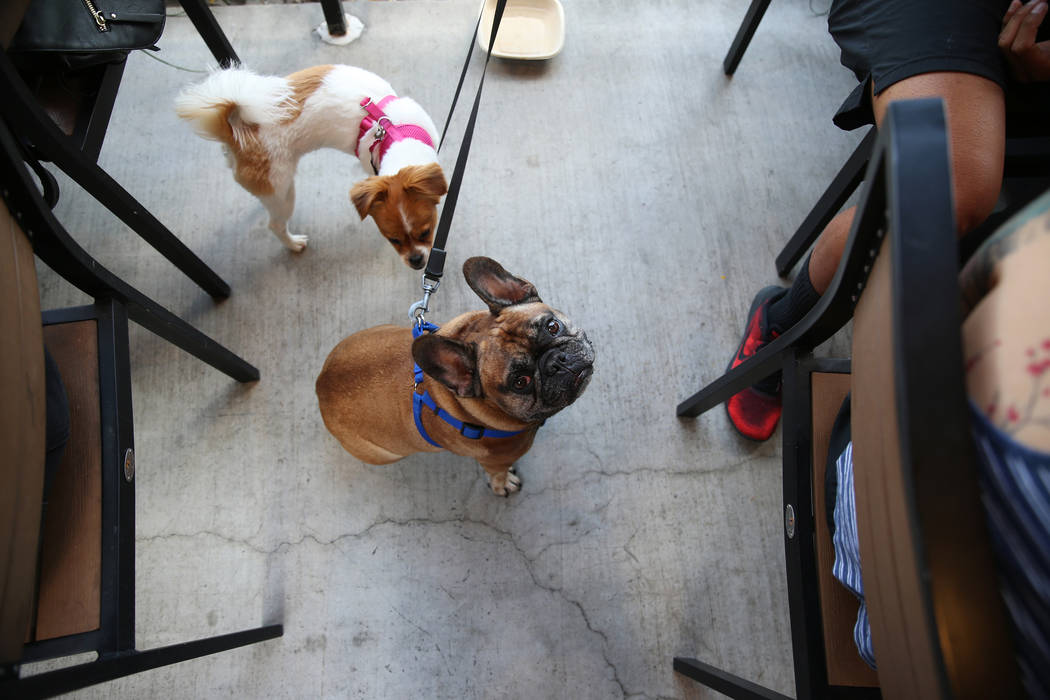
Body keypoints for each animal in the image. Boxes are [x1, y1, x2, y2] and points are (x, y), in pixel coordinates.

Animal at [177, 65, 447, 268]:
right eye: (393, 240)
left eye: (426, 232)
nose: (416, 261)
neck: (395, 133)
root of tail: (236, 133)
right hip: (281, 191)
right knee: (275, 224)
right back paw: (293, 243)